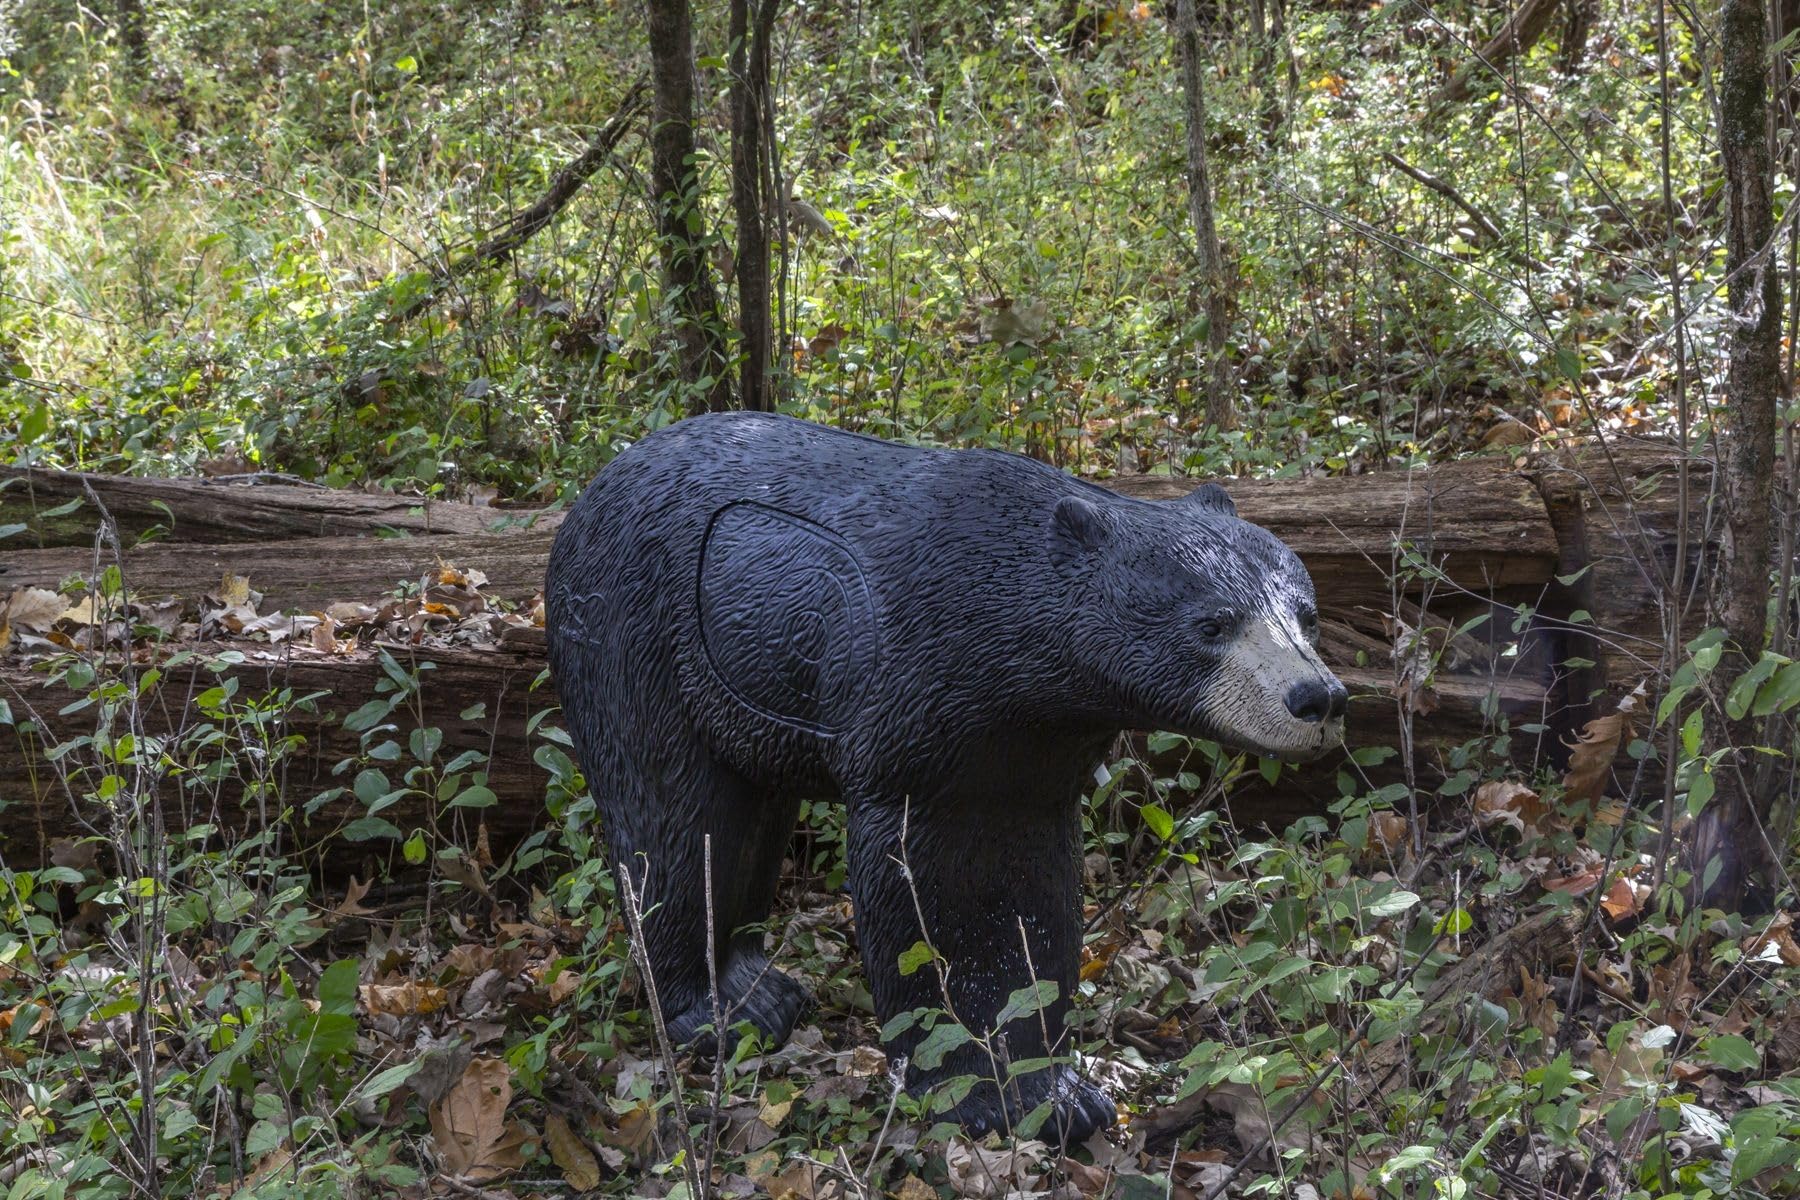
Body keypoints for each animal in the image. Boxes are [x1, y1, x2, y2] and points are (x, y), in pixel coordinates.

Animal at [545, 411, 1346, 1145]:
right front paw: (982, 1092)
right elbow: (935, 894)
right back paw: (718, 1010)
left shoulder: (1023, 748)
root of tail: (589, 494)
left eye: (1306, 614)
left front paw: (1058, 1090)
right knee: (673, 815)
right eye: (1211, 624)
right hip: (636, 637)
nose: (1319, 698)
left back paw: (755, 988)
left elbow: (1029, 885)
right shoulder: (917, 708)